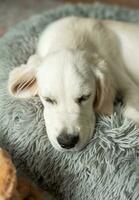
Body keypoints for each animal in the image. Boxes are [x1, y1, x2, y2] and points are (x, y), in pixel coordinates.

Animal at [7, 16, 139, 152]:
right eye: (48, 99)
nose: (67, 142)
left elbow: (130, 109)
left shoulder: (125, 81)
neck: (70, 37)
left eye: (85, 97)